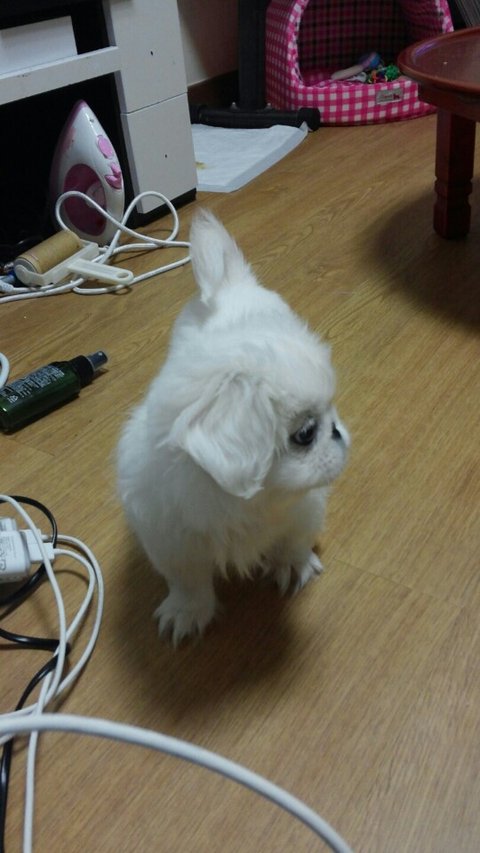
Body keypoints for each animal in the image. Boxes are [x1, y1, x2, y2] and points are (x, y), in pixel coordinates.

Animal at [117, 210, 349, 644]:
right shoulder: (171, 542)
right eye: (306, 435)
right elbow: (188, 582)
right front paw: (187, 613)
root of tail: (227, 287)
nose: (339, 432)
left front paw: (293, 566)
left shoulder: (304, 509)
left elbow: (293, 542)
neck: (249, 508)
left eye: (329, 414)